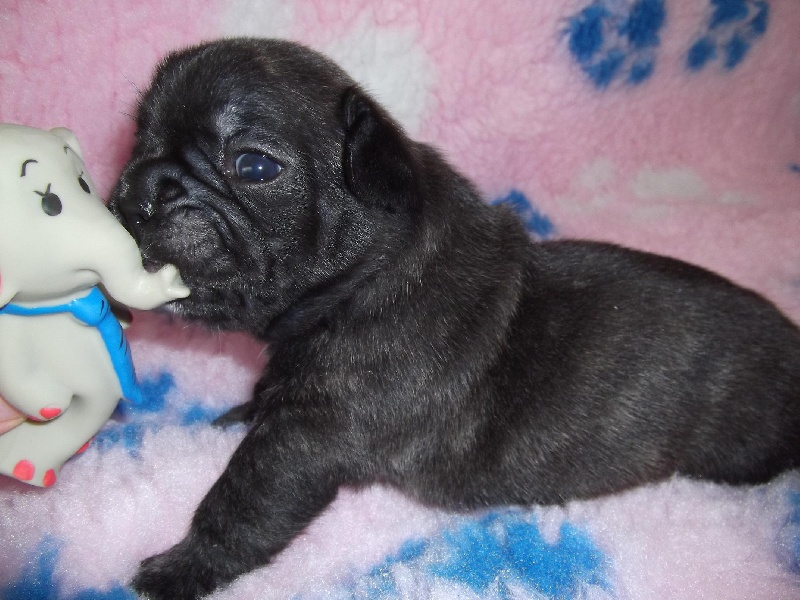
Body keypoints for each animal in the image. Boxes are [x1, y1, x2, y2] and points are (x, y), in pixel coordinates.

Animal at [109, 38, 800, 599]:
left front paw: (180, 569)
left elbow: (241, 503)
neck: (367, 277)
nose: (140, 186)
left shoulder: (308, 439)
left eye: (254, 166)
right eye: (139, 140)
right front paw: (242, 408)